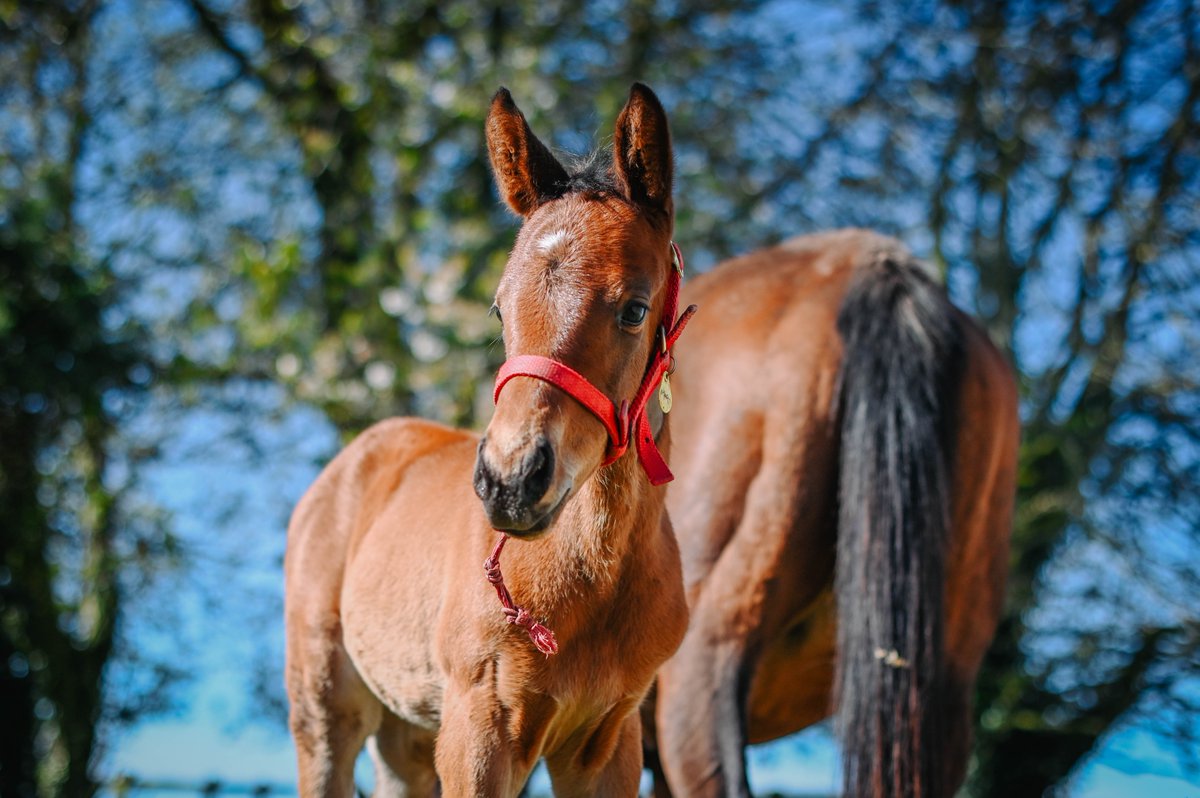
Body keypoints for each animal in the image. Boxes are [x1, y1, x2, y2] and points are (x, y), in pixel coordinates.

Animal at [283, 84, 696, 792]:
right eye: (500, 307)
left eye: (635, 309)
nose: (510, 482)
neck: (596, 578)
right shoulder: (480, 726)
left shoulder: (611, 739)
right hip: (325, 709)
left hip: (408, 732)